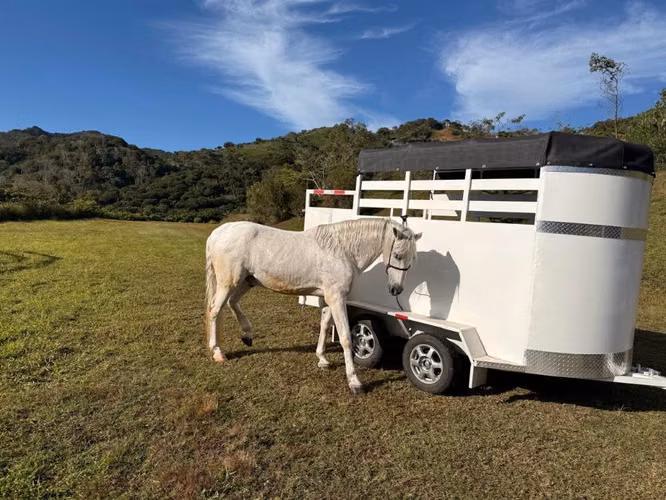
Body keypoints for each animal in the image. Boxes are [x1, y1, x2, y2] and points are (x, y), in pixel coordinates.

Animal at [204, 217, 421, 394]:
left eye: (412, 258)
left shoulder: (328, 298)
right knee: (215, 310)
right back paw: (218, 352)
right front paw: (355, 382)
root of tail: (218, 233)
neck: (342, 250)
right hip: (229, 282)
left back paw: (247, 335)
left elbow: (324, 326)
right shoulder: (337, 298)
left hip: (246, 282)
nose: (396, 289)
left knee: (231, 303)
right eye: (398, 255)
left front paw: (322, 359)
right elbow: (345, 338)